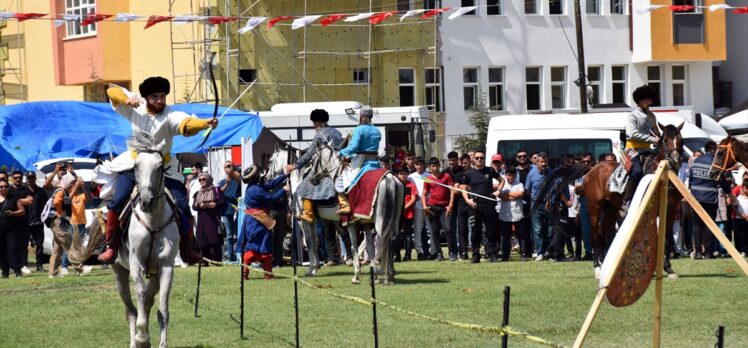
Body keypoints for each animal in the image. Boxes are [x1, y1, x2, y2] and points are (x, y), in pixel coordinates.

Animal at [112, 134, 180, 348]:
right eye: (136, 166)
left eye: (160, 167)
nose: (146, 201)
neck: (153, 221)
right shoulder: (136, 263)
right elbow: (140, 292)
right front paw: (142, 336)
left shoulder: (166, 267)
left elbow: (163, 310)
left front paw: (160, 342)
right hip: (119, 272)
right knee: (132, 311)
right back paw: (136, 341)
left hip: (155, 274)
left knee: (149, 302)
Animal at [264, 145, 404, 286]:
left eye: (270, 161)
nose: (265, 178)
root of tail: (390, 179)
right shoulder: (314, 220)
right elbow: (314, 242)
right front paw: (316, 268)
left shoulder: (303, 221)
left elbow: (309, 242)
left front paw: (310, 269)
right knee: (388, 240)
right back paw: (387, 274)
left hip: (379, 221)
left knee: (381, 240)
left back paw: (382, 274)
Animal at [536, 121, 684, 276]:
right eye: (665, 140)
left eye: (680, 139)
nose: (676, 159)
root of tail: (592, 169)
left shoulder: (670, 210)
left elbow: (665, 237)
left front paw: (668, 267)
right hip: (595, 208)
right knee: (595, 234)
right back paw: (597, 267)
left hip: (611, 210)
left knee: (602, 233)